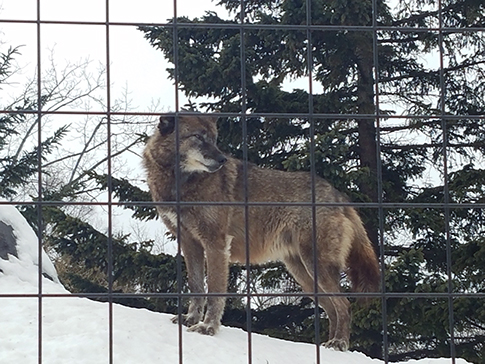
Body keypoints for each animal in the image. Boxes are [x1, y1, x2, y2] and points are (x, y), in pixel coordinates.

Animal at [142, 113, 380, 350]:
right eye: (199, 137)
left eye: (214, 139)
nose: (222, 160)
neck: (180, 184)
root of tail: (338, 196)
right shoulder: (190, 244)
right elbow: (196, 287)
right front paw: (190, 319)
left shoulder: (216, 243)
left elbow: (215, 292)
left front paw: (207, 328)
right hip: (304, 274)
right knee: (332, 309)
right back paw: (327, 346)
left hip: (316, 267)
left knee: (344, 305)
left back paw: (339, 343)